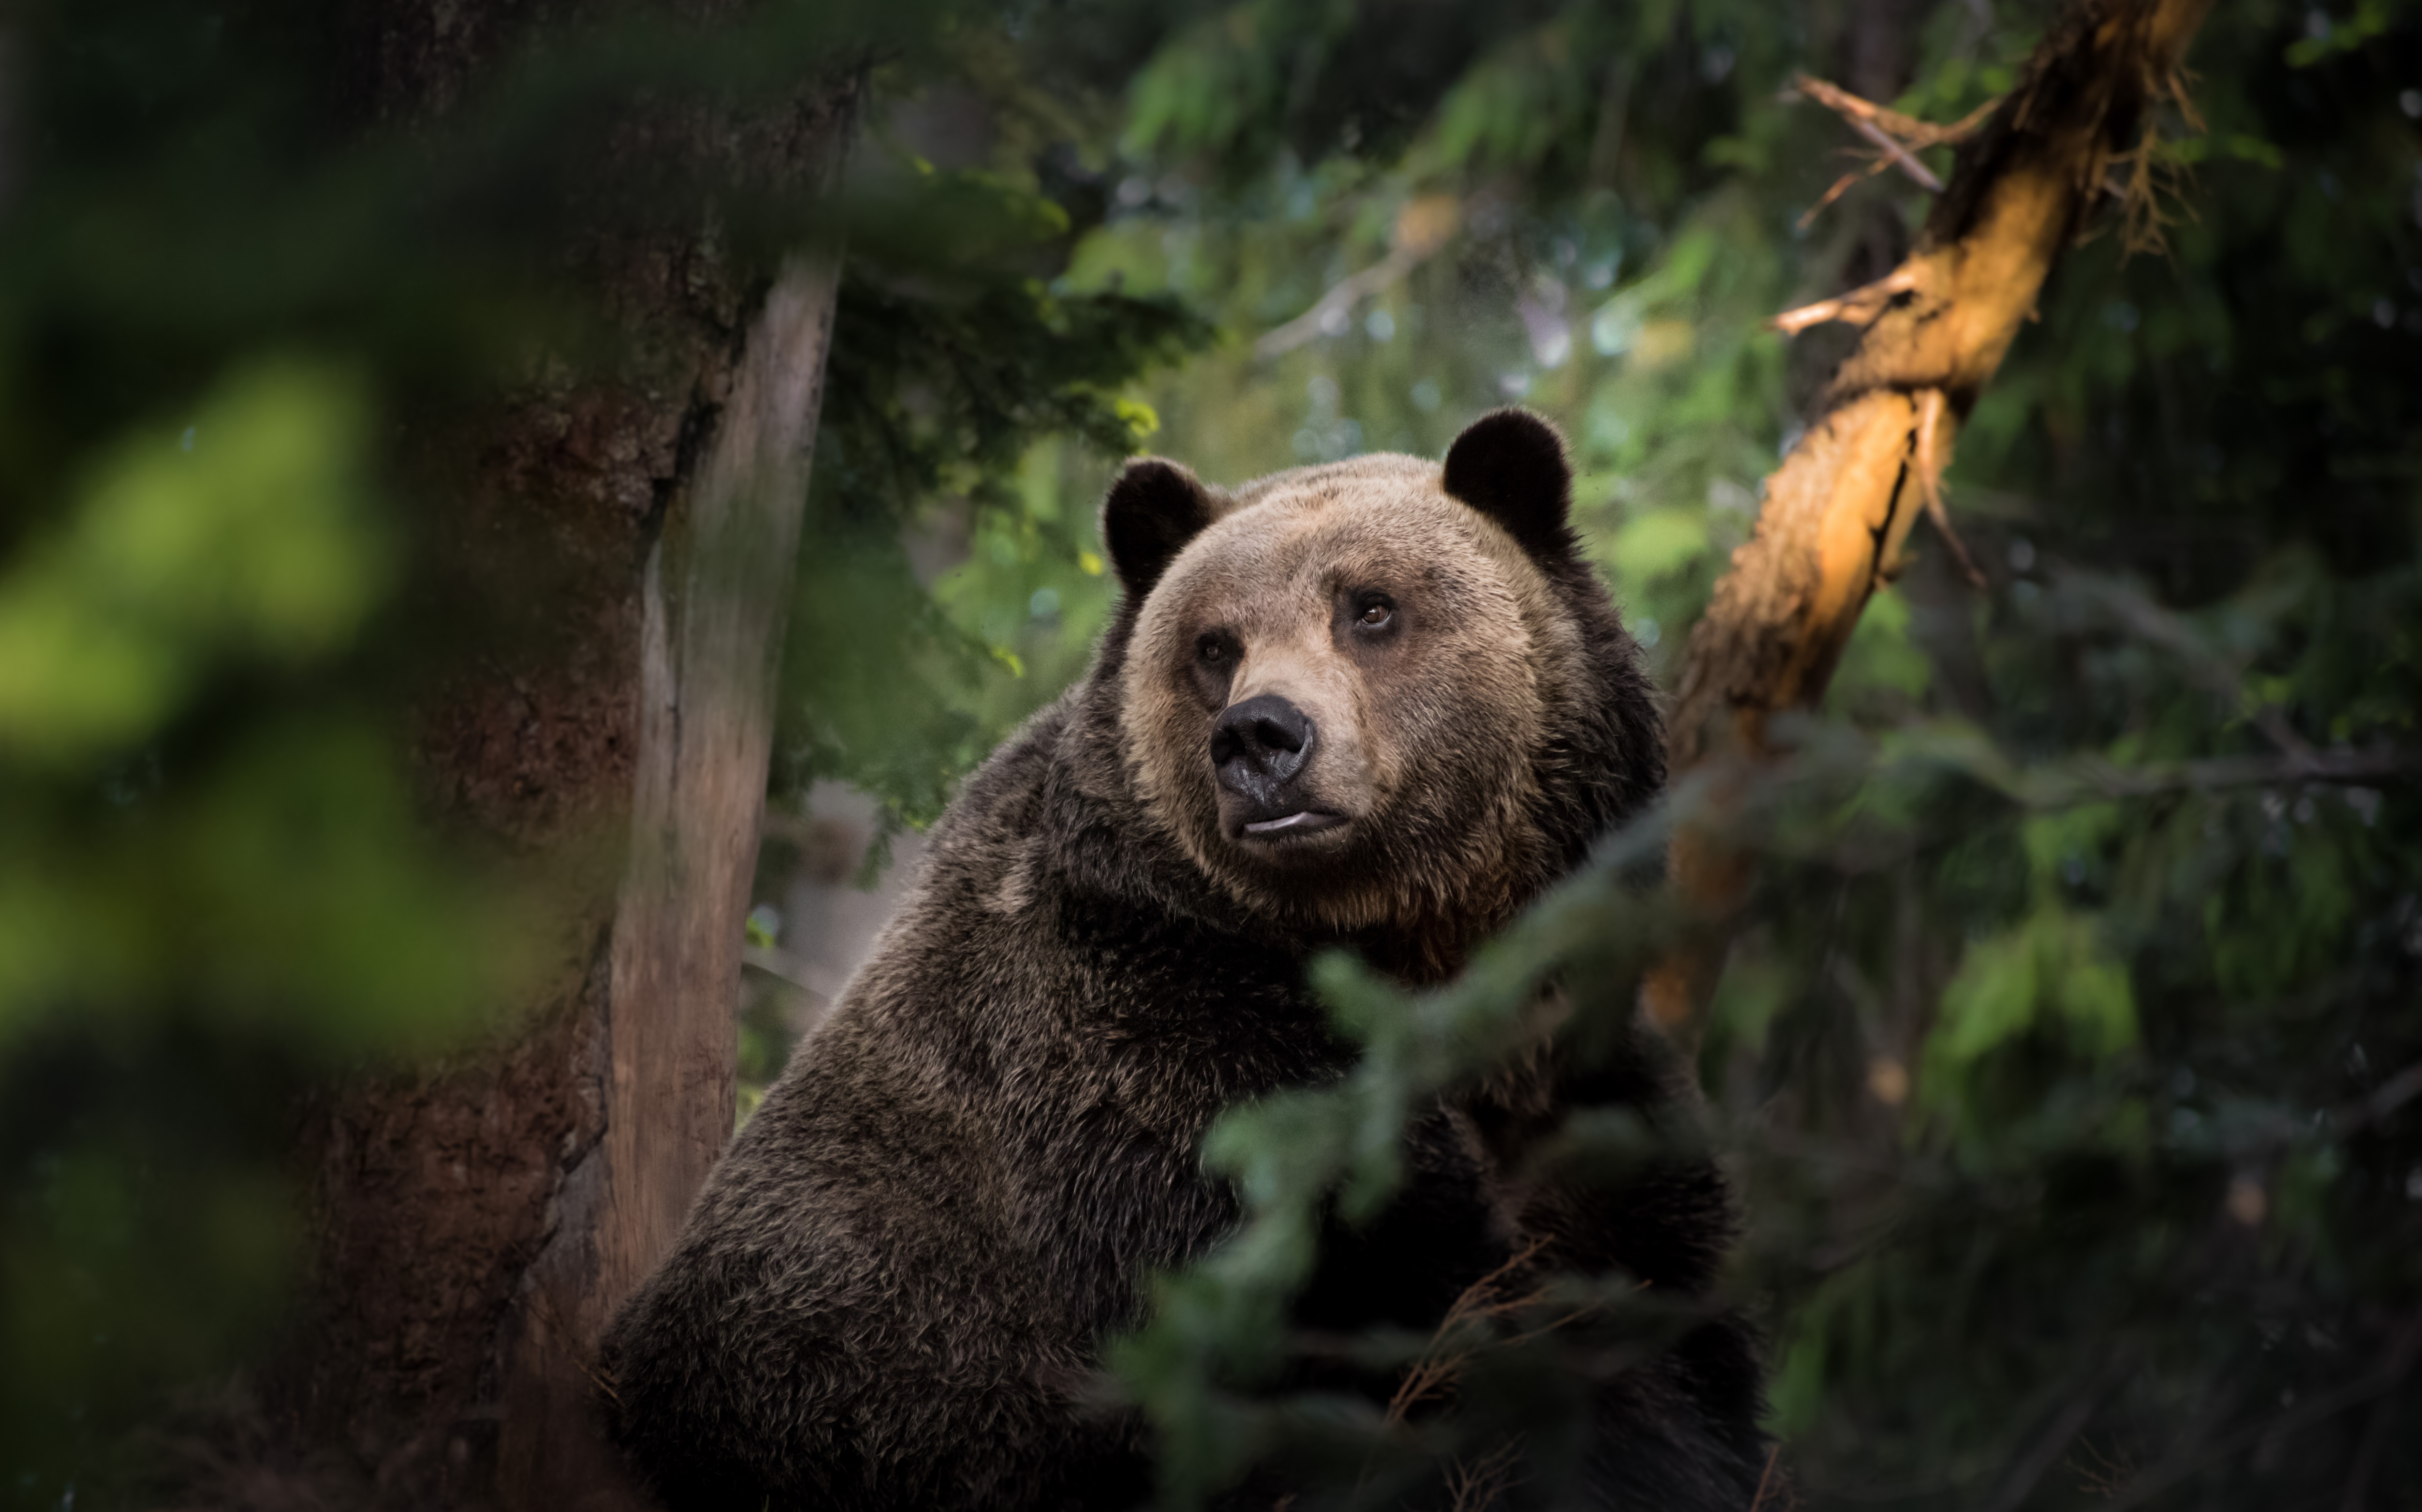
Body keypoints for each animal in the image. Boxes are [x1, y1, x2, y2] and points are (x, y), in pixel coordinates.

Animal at [596, 409, 1773, 1512]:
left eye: (1370, 607)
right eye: (1214, 643)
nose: (1261, 736)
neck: (1402, 954)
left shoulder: (1581, 1086)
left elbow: (1662, 1324)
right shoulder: (1154, 1073)